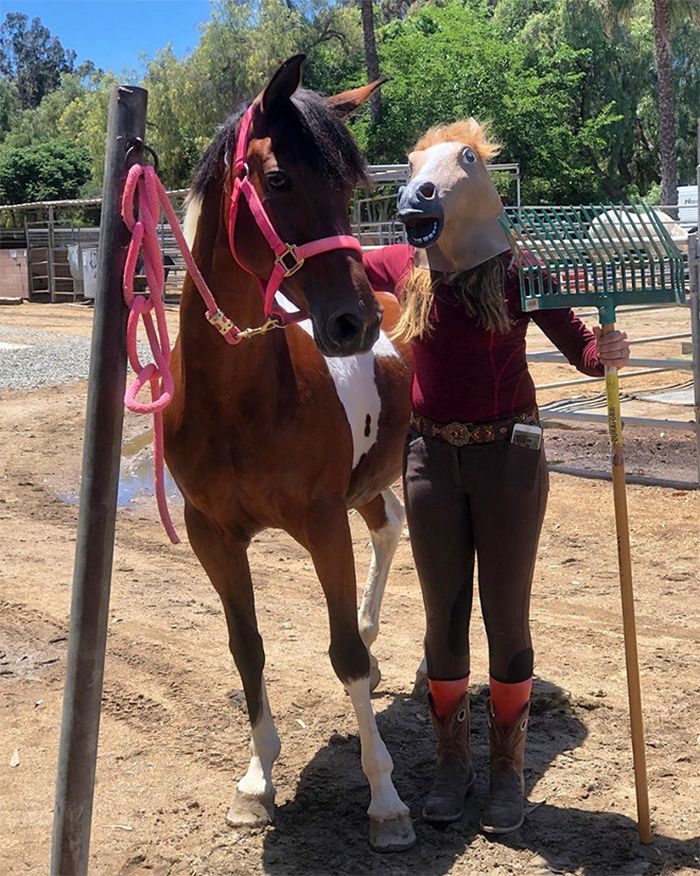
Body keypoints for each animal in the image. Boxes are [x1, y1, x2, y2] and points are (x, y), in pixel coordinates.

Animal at [163, 55, 415, 852]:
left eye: (349, 188)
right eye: (277, 180)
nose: (354, 322)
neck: (239, 402)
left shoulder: (322, 526)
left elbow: (342, 659)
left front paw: (386, 801)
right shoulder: (213, 536)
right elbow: (247, 648)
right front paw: (256, 782)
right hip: (368, 481)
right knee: (389, 526)